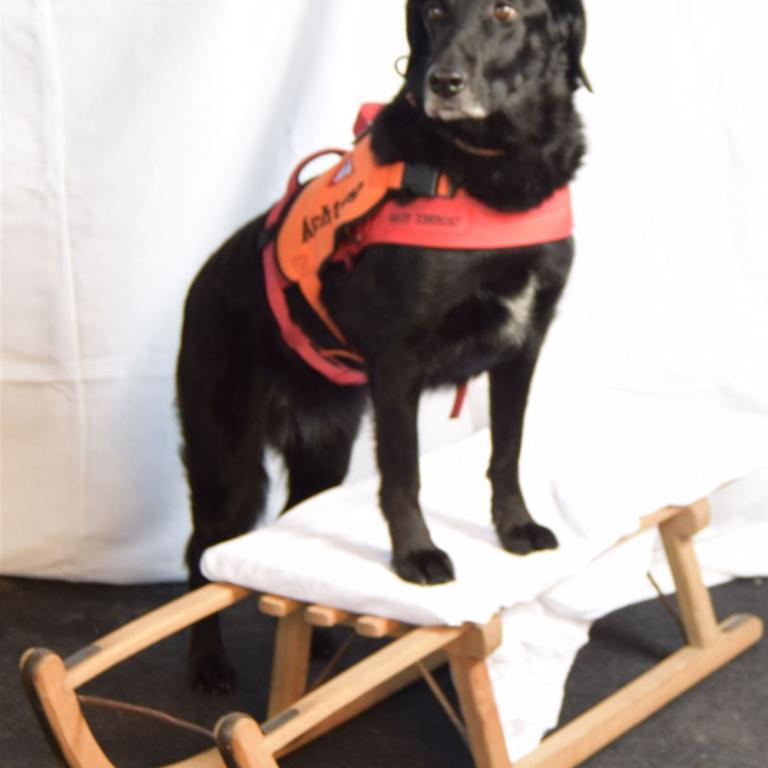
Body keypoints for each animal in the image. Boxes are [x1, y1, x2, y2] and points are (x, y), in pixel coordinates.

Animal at [177, 0, 589, 691]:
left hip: (323, 448)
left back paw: (316, 638)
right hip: (226, 460)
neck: (489, 163)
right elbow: (403, 473)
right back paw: (208, 664)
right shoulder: (399, 362)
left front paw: (514, 528)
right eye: (436, 12)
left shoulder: (523, 346)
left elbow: (506, 451)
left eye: (505, 11)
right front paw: (416, 555)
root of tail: (199, 283)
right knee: (200, 556)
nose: (443, 82)